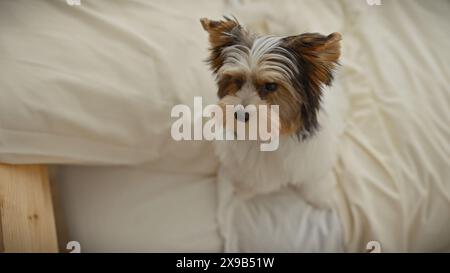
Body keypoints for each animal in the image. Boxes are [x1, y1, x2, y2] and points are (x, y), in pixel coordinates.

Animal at [200, 17, 342, 207]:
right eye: (236, 81)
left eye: (271, 86)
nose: (240, 115)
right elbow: (251, 180)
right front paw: (243, 191)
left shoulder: (311, 158)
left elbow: (314, 179)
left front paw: (321, 197)